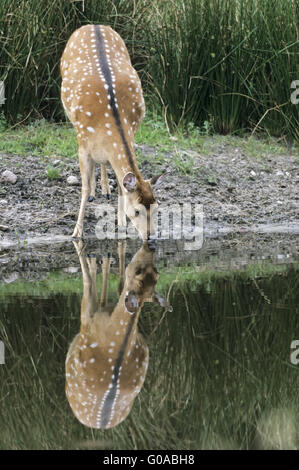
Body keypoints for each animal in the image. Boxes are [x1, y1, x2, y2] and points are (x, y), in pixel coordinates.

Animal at [60, 24, 163, 246]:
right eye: (137, 211)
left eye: (157, 207)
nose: (150, 237)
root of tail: (94, 25)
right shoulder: (82, 146)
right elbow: (84, 188)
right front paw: (76, 232)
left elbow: (121, 186)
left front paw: (121, 225)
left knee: (105, 164)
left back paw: (105, 189)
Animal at [66, 242, 172, 430]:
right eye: (156, 273)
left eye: (137, 271)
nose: (150, 248)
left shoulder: (87, 322)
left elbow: (87, 285)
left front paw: (91, 256)